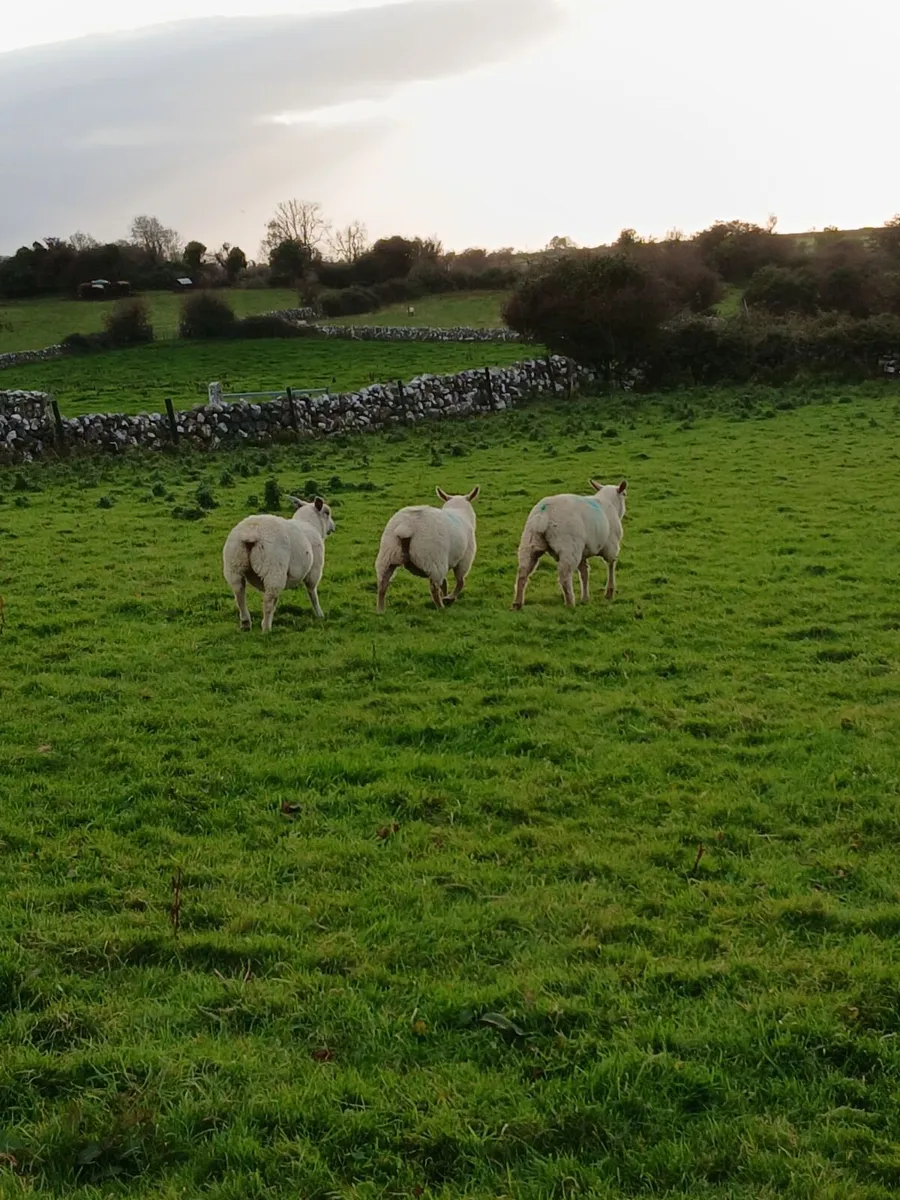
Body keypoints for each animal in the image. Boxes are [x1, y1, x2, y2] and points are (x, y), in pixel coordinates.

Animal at [222, 495, 335, 632]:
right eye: (327, 512)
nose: (333, 527)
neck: (310, 523)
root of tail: (251, 532)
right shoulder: (315, 570)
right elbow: (312, 592)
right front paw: (319, 614)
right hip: (274, 569)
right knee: (268, 600)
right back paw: (266, 628)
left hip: (234, 566)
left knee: (239, 594)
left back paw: (246, 623)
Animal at [512, 479, 627, 610]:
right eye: (625, 494)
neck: (609, 502)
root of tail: (544, 513)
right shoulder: (611, 546)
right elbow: (611, 565)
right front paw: (609, 593)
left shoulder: (583, 553)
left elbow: (584, 573)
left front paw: (585, 598)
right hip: (569, 547)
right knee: (564, 576)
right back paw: (570, 603)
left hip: (530, 542)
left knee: (522, 573)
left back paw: (517, 603)